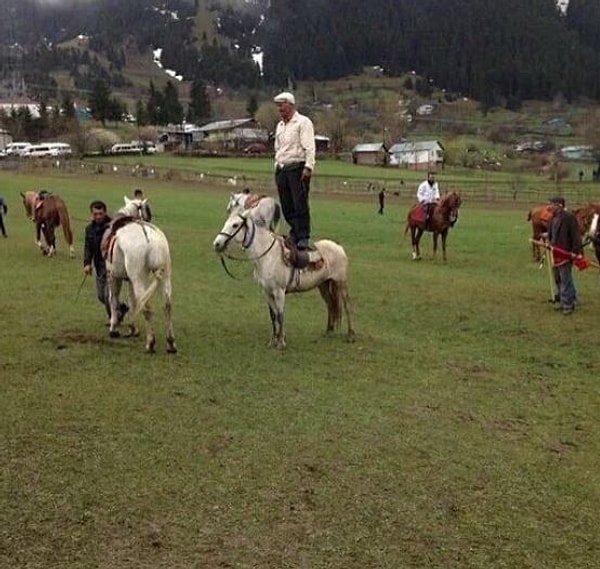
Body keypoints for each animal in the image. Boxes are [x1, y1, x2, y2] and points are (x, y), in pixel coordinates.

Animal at [104, 202, 176, 352]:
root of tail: (150, 239)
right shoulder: (130, 280)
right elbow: (132, 301)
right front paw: (132, 328)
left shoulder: (113, 276)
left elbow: (113, 299)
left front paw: (114, 328)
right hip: (165, 276)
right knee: (167, 306)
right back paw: (171, 343)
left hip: (137, 278)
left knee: (146, 308)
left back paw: (150, 343)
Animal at [213, 211, 354, 348]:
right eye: (227, 222)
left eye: (235, 225)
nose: (217, 244)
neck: (268, 256)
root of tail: (339, 248)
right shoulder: (267, 292)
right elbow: (273, 315)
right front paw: (273, 340)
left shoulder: (279, 291)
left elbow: (280, 316)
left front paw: (281, 343)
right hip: (323, 285)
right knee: (330, 304)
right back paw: (329, 331)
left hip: (341, 283)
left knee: (347, 306)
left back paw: (350, 335)